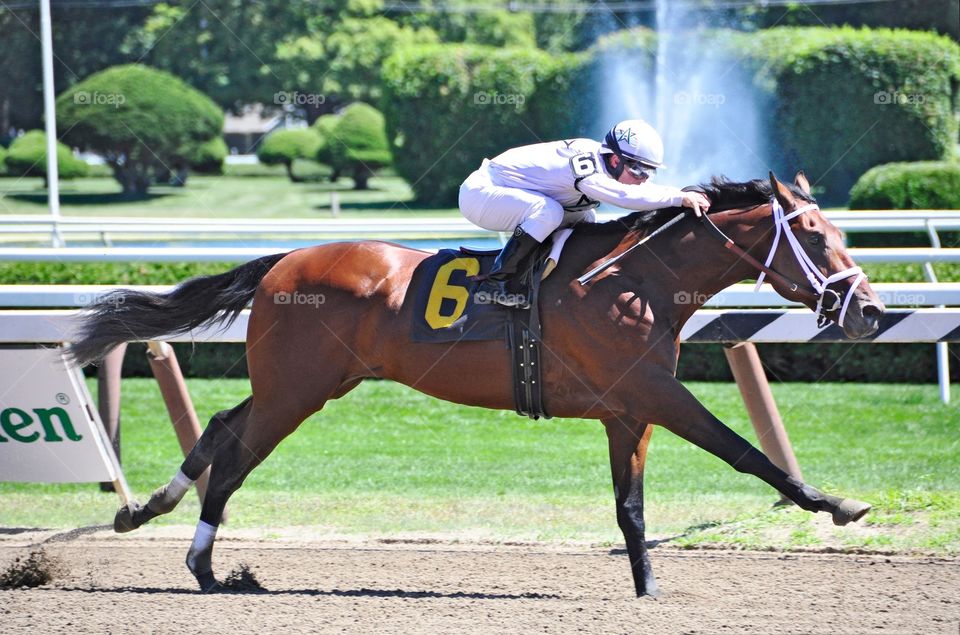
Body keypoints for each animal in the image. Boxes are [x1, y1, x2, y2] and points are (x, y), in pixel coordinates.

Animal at [73, 173, 884, 596]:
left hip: (303, 383)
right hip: (295, 391)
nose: (870, 311)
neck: (637, 278)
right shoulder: (655, 392)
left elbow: (630, 507)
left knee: (219, 426)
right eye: (815, 236)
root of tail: (282, 262)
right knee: (239, 451)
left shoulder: (628, 411)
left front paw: (647, 588)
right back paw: (204, 566)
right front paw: (837, 504)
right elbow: (743, 450)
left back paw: (148, 515)